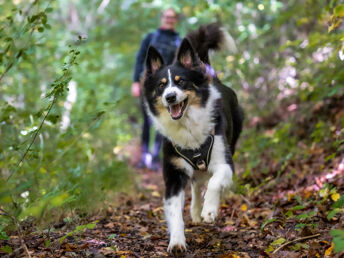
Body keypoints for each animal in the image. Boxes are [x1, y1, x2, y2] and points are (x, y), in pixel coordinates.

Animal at [141, 23, 243, 254]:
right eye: (161, 85)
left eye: (181, 82)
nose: (170, 97)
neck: (187, 125)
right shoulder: (174, 175)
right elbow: (174, 213)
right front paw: (177, 241)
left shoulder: (224, 162)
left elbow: (215, 182)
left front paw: (210, 210)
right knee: (196, 184)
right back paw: (196, 211)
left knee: (210, 181)